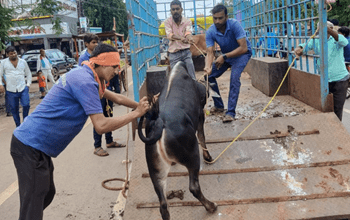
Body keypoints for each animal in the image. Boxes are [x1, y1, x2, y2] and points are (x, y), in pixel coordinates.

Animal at [138, 61, 217, 220]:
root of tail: (159, 122)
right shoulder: (200, 115)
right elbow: (202, 137)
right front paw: (208, 157)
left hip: (156, 171)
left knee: (163, 204)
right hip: (192, 156)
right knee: (193, 187)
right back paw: (211, 206)